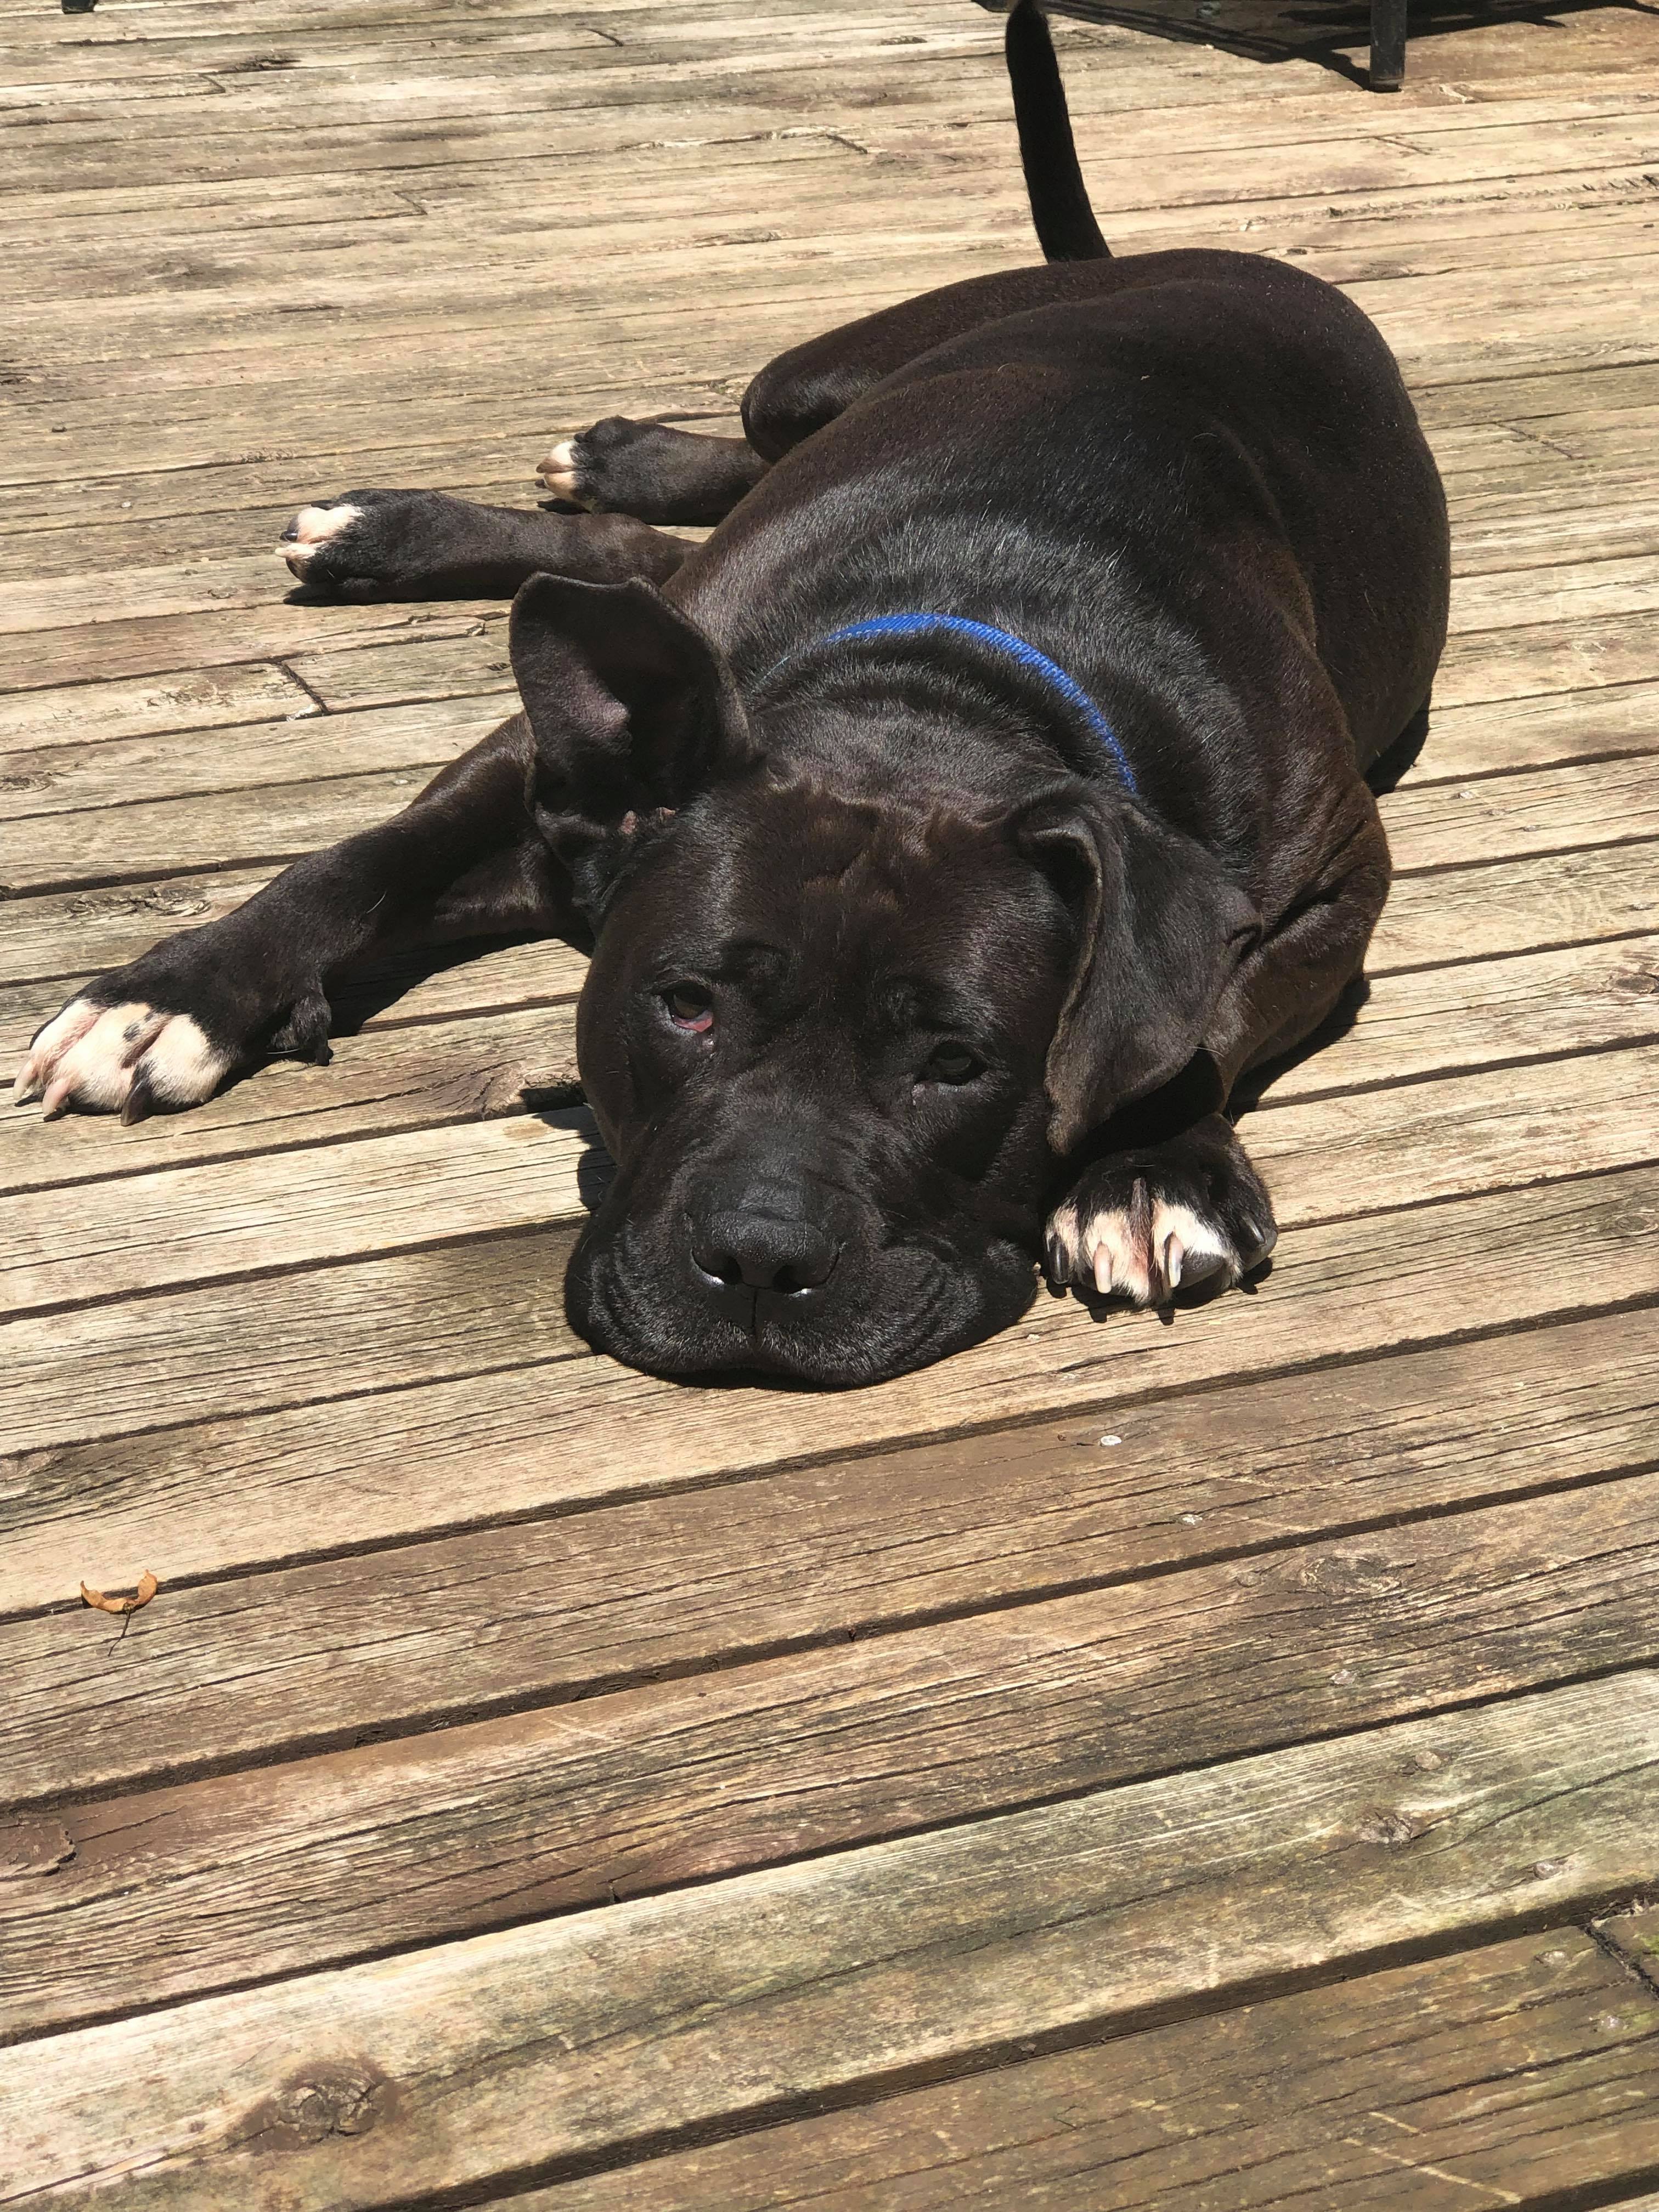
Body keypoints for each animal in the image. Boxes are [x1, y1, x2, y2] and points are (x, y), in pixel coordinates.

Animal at [13, 4, 1451, 1380]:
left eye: (959, 1063)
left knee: (640, 546)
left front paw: (1153, 1168)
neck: (941, 694)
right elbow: (367, 858)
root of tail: (1160, 261)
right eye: (685, 1006)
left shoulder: (1331, 886)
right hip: (811, 380)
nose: (762, 1258)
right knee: (693, 497)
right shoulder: (550, 772)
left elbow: (1206, 1009)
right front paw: (172, 996)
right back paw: (501, 491)